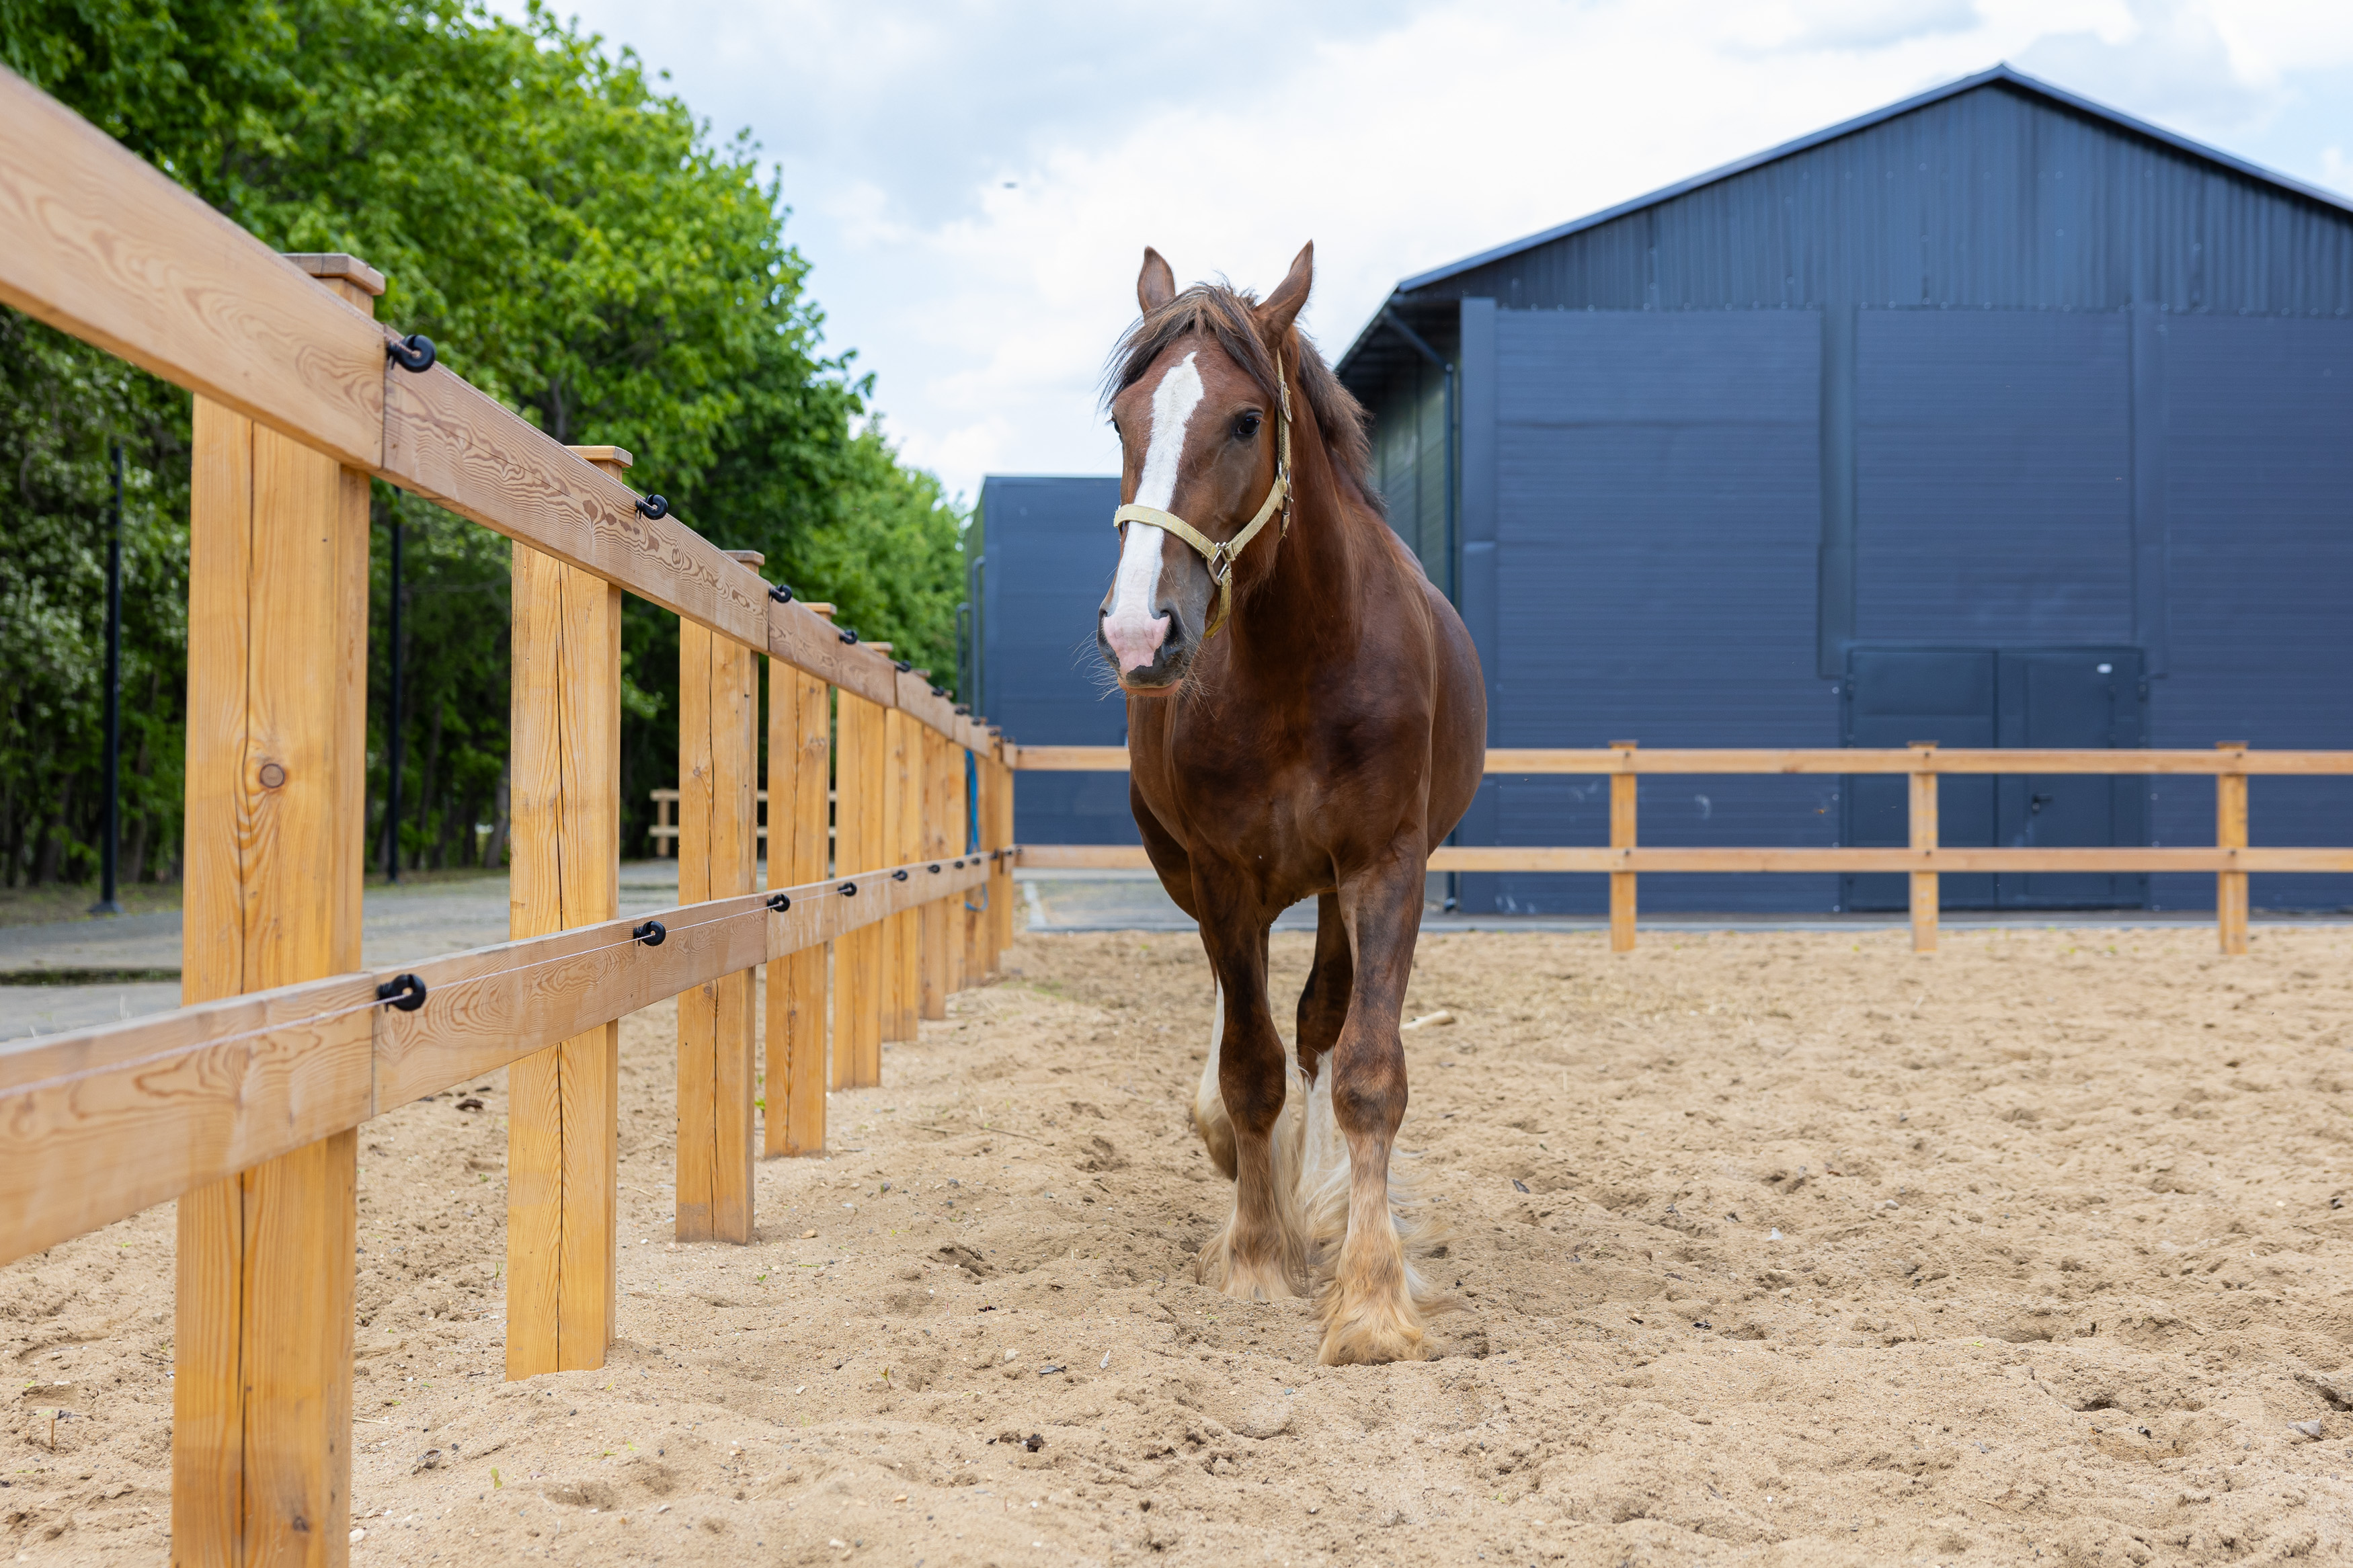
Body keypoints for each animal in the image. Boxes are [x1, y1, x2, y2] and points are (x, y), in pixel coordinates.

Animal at [1094, 243, 1486, 1365]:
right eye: (1123, 422)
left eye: (1243, 421)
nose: (1140, 633)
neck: (1300, 663)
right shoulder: (1225, 878)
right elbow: (1250, 1068)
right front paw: (1256, 1255)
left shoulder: (1385, 868)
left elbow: (1363, 1068)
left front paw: (1371, 1298)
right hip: (1203, 878)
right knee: (1254, 1028)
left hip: (1333, 891)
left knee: (1319, 1021)